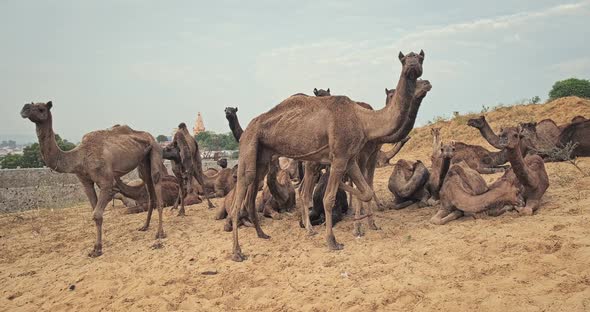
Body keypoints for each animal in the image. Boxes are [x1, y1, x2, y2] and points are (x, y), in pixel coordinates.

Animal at [20, 101, 165, 258]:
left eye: (41, 109)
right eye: (31, 104)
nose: (24, 109)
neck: (79, 157)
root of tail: (150, 136)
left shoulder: (106, 181)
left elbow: (97, 213)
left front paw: (98, 250)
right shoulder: (85, 182)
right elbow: (96, 213)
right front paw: (96, 248)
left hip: (155, 150)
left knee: (156, 182)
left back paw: (160, 233)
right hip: (143, 160)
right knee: (149, 186)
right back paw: (145, 226)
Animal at [228, 49, 430, 260]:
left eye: (420, 58)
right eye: (404, 59)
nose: (413, 66)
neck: (364, 120)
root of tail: (248, 127)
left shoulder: (350, 158)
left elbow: (366, 191)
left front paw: (363, 222)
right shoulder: (340, 157)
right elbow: (329, 198)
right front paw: (333, 241)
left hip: (263, 155)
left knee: (258, 185)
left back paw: (265, 234)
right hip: (249, 145)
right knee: (243, 186)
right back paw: (237, 252)